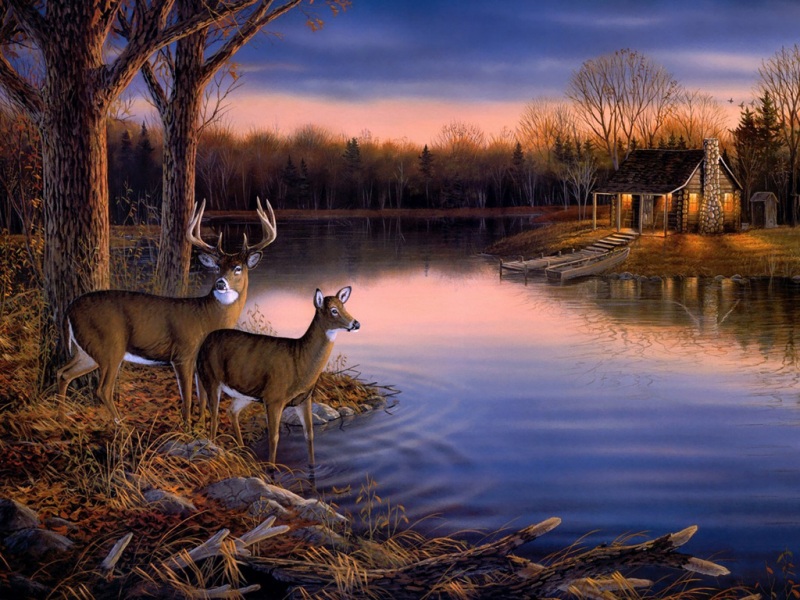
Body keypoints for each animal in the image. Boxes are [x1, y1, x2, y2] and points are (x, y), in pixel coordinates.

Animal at [56, 197, 277, 428]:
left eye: (237, 268)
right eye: (217, 267)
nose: (220, 283)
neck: (208, 318)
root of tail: (68, 310)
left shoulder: (199, 363)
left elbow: (202, 398)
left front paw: (200, 425)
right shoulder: (182, 354)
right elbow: (187, 398)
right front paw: (187, 428)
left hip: (86, 350)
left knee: (63, 373)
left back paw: (62, 418)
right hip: (110, 345)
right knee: (103, 389)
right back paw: (121, 425)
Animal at [195, 286, 360, 466]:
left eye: (344, 306)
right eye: (334, 310)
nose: (356, 323)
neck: (299, 360)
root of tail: (202, 344)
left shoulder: (304, 399)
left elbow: (309, 434)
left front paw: (312, 466)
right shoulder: (273, 398)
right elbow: (274, 437)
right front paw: (271, 468)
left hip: (244, 394)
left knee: (231, 411)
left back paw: (243, 450)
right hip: (210, 378)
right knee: (214, 414)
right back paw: (213, 448)